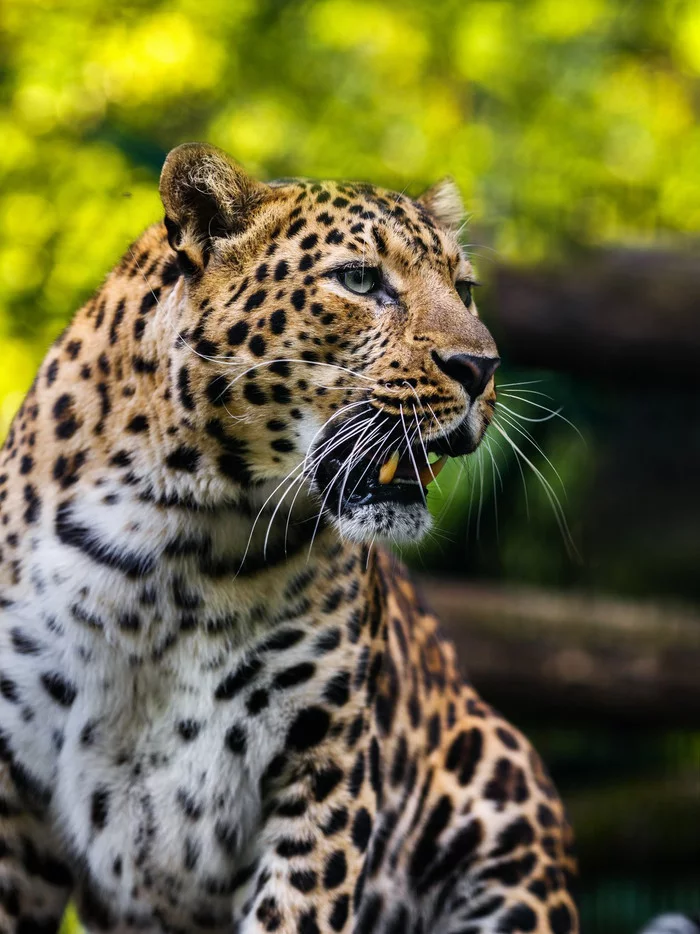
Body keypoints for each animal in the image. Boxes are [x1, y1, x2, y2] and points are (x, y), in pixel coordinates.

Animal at [0, 141, 580, 934]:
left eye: (465, 290)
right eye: (360, 280)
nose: (481, 368)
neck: (179, 547)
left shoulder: (322, 767)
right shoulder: (14, 778)